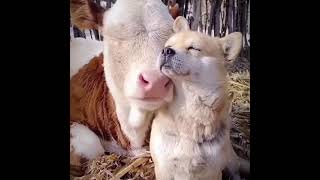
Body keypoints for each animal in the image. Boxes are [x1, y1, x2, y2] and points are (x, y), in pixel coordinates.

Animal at [151, 16, 244, 179]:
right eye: (168, 45)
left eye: (193, 48)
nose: (166, 51)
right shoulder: (163, 169)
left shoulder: (213, 172)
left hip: (230, 162)